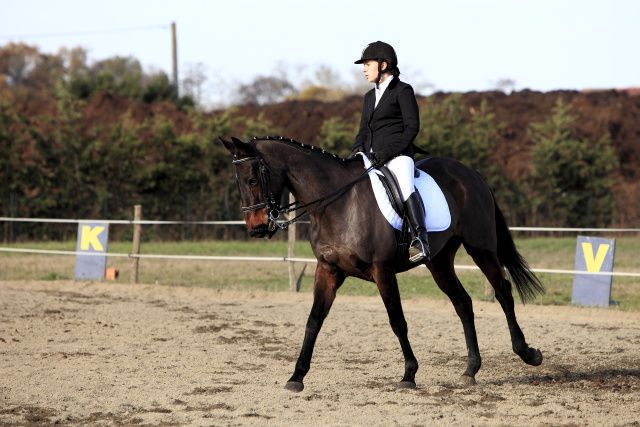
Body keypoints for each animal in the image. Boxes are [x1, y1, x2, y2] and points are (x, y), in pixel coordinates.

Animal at [221, 135, 544, 392]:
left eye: (253, 179)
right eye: (236, 182)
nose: (256, 228)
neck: (336, 204)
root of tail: (471, 174)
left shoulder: (383, 270)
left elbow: (397, 321)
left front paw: (409, 374)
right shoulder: (328, 270)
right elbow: (313, 321)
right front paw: (296, 376)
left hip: (481, 248)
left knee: (503, 292)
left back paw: (527, 353)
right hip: (439, 262)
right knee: (463, 303)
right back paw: (470, 370)